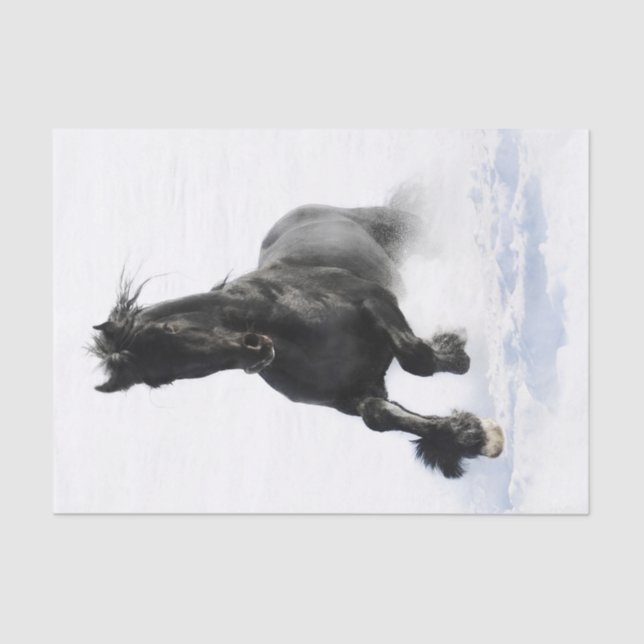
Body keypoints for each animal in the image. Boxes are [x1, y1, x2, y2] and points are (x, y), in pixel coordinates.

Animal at [90, 204, 504, 478]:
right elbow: (380, 416)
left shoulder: (374, 301)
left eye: (170, 332)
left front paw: (453, 350)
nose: (254, 353)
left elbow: (416, 358)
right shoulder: (352, 394)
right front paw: (472, 437)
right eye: (163, 379)